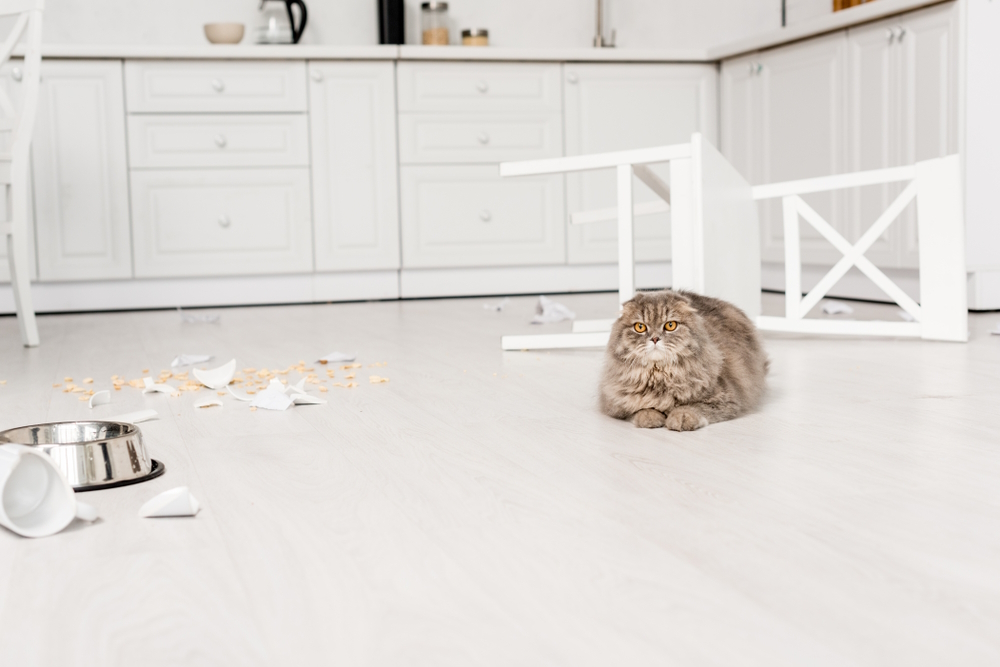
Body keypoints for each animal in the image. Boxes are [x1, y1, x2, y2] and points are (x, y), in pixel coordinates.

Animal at [596, 292, 768, 434]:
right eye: (640, 327)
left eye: (670, 325)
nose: (655, 338)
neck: (660, 378)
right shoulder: (614, 403)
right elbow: (640, 408)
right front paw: (650, 417)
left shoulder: (726, 399)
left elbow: (694, 407)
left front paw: (680, 417)